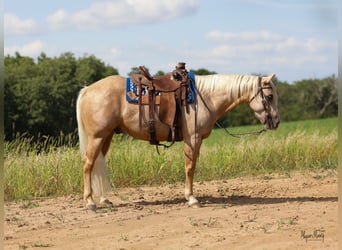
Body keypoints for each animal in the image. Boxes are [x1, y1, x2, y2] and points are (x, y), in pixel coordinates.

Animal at [76, 73, 280, 211]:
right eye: (270, 96)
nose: (276, 122)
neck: (205, 98)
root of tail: (87, 89)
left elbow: (192, 166)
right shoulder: (193, 138)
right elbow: (190, 167)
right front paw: (191, 198)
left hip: (106, 137)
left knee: (98, 164)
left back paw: (103, 199)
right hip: (97, 137)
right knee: (88, 164)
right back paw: (90, 202)